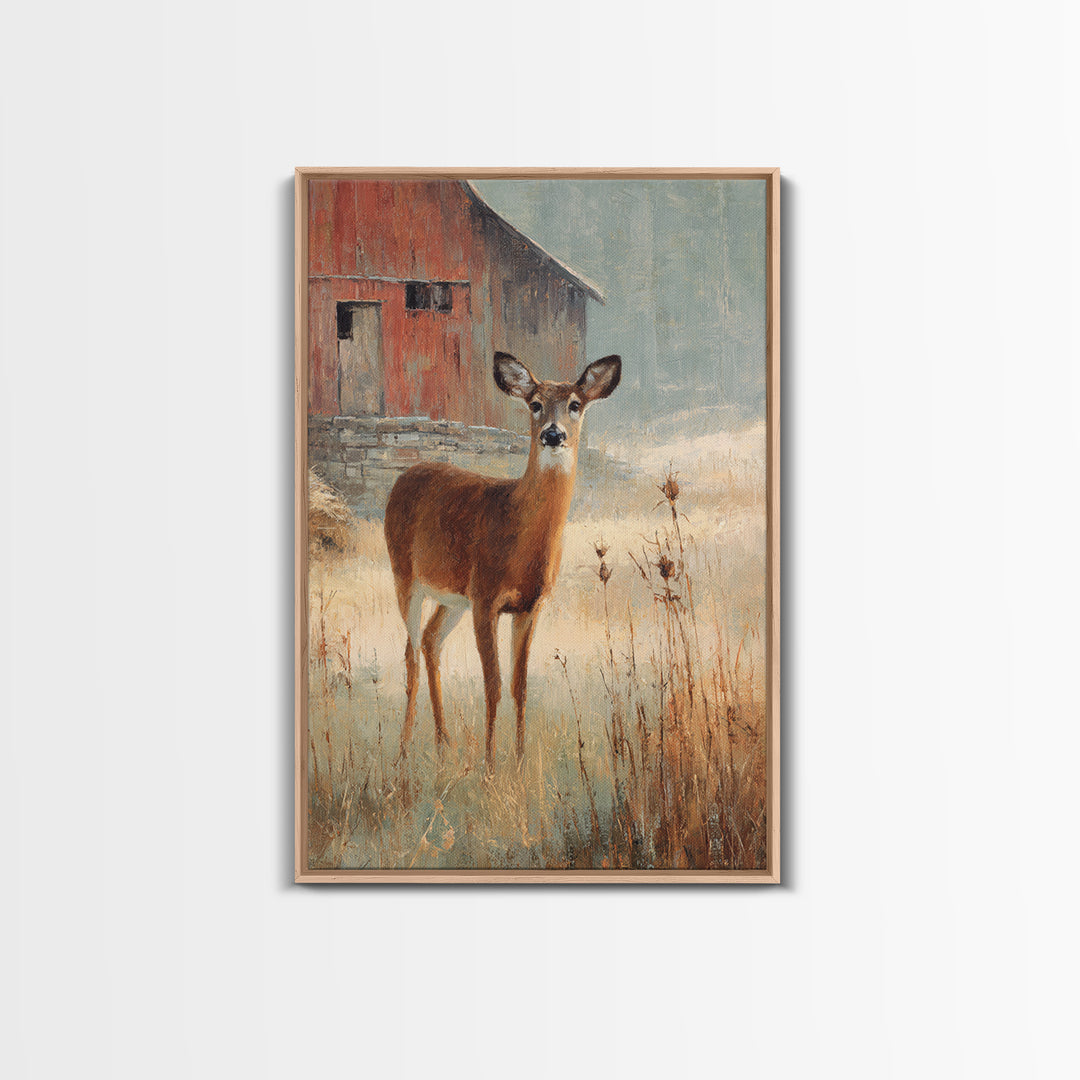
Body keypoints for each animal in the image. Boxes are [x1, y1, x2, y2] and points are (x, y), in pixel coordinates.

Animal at [384, 351, 621, 769]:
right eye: (535, 404)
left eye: (575, 404)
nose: (553, 434)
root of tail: (405, 474)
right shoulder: (485, 598)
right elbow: (492, 685)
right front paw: (491, 764)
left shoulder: (529, 605)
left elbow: (519, 686)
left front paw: (521, 759)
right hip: (405, 575)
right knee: (410, 654)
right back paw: (404, 750)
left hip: (452, 597)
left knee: (430, 641)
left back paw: (444, 742)